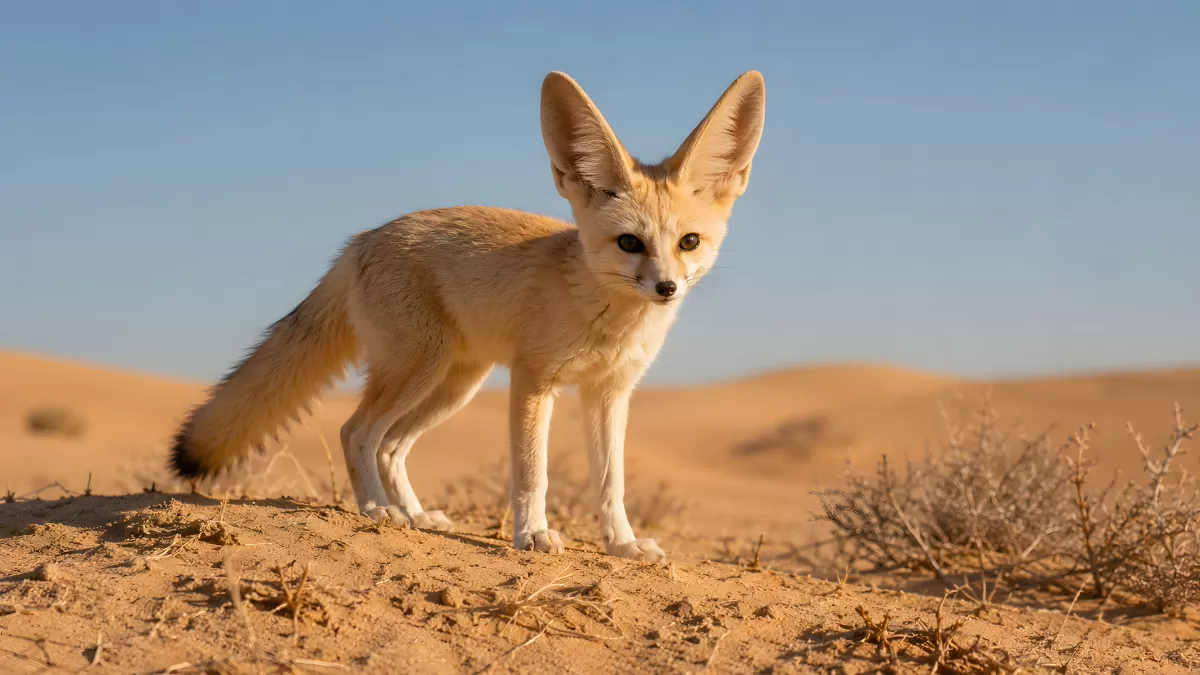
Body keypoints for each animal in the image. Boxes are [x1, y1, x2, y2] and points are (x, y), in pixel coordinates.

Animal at [168, 70, 765, 562]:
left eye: (689, 242)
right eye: (629, 243)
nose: (666, 288)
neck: (608, 320)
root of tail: (360, 240)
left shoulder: (610, 392)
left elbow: (610, 482)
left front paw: (622, 544)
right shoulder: (533, 381)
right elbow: (532, 474)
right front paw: (533, 535)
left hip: (454, 387)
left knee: (390, 446)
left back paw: (413, 515)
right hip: (419, 372)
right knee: (355, 432)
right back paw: (377, 510)